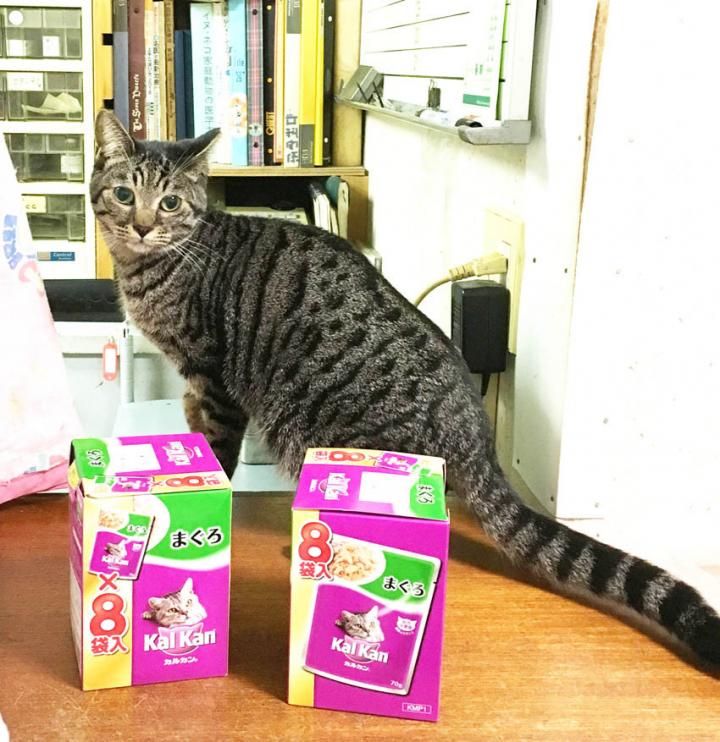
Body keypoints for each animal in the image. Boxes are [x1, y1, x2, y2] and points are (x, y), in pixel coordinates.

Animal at [91, 109, 720, 665]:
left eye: (170, 202)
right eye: (124, 194)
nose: (142, 224)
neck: (153, 267)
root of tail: (476, 431)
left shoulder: (215, 376)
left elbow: (219, 449)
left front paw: (209, 483)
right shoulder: (194, 379)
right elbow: (192, 416)